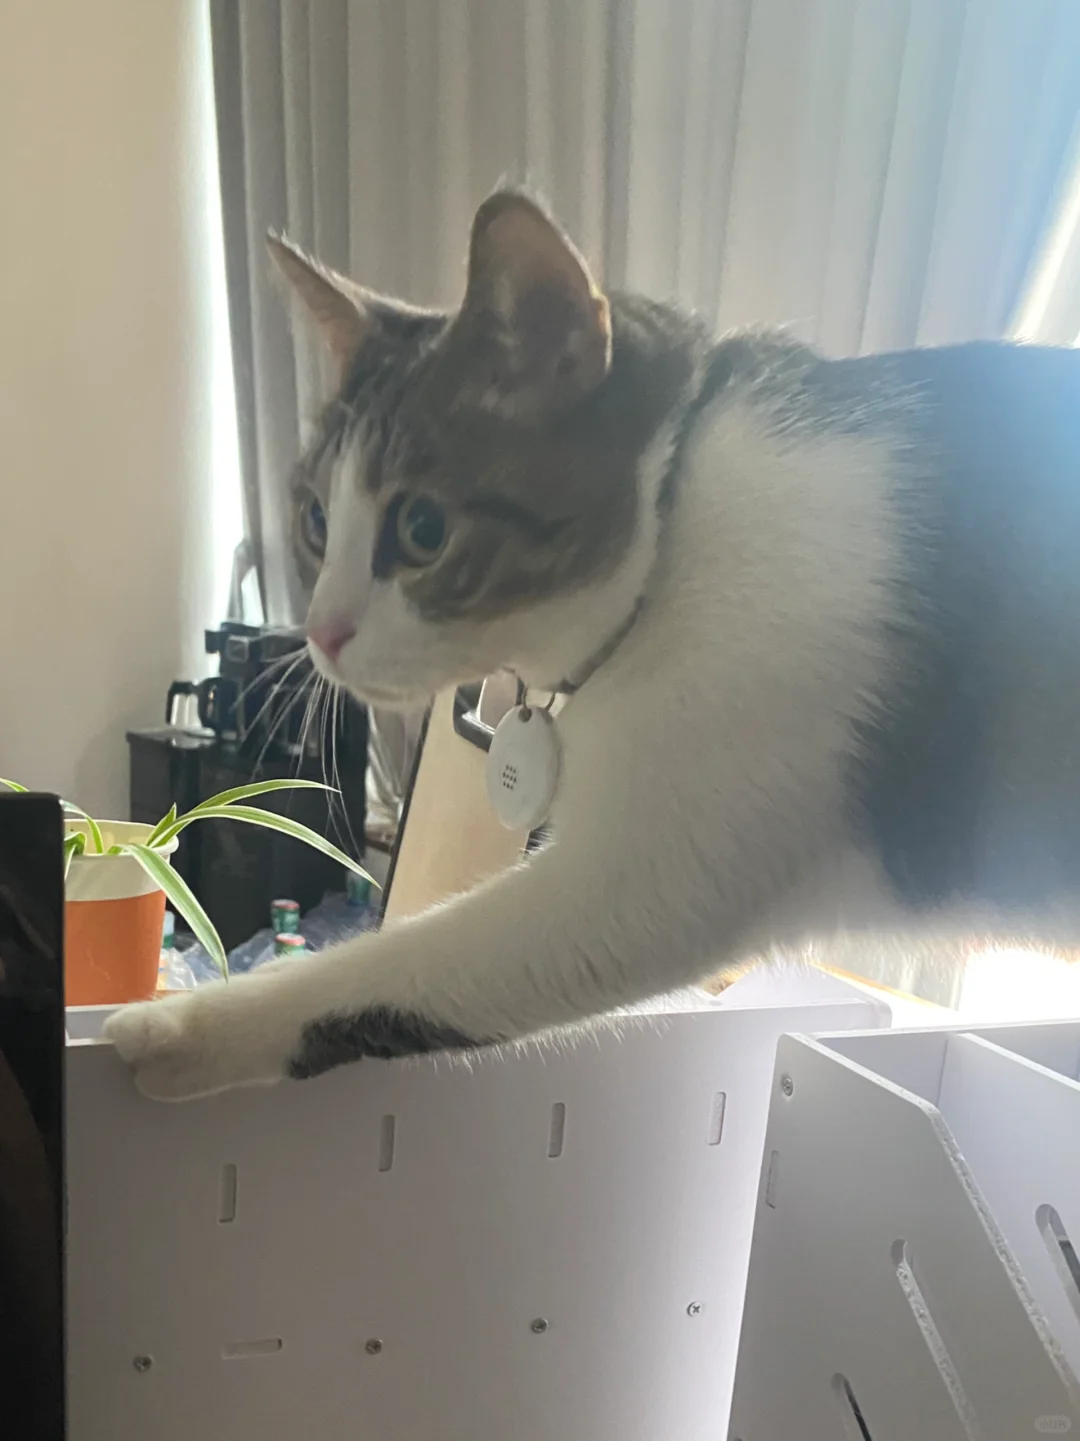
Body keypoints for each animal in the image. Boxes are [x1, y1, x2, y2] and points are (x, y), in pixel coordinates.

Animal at [106, 189, 1080, 1099]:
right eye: (314, 519)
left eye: (422, 530)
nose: (321, 633)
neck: (676, 525)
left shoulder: (662, 855)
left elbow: (408, 961)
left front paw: (183, 1025)